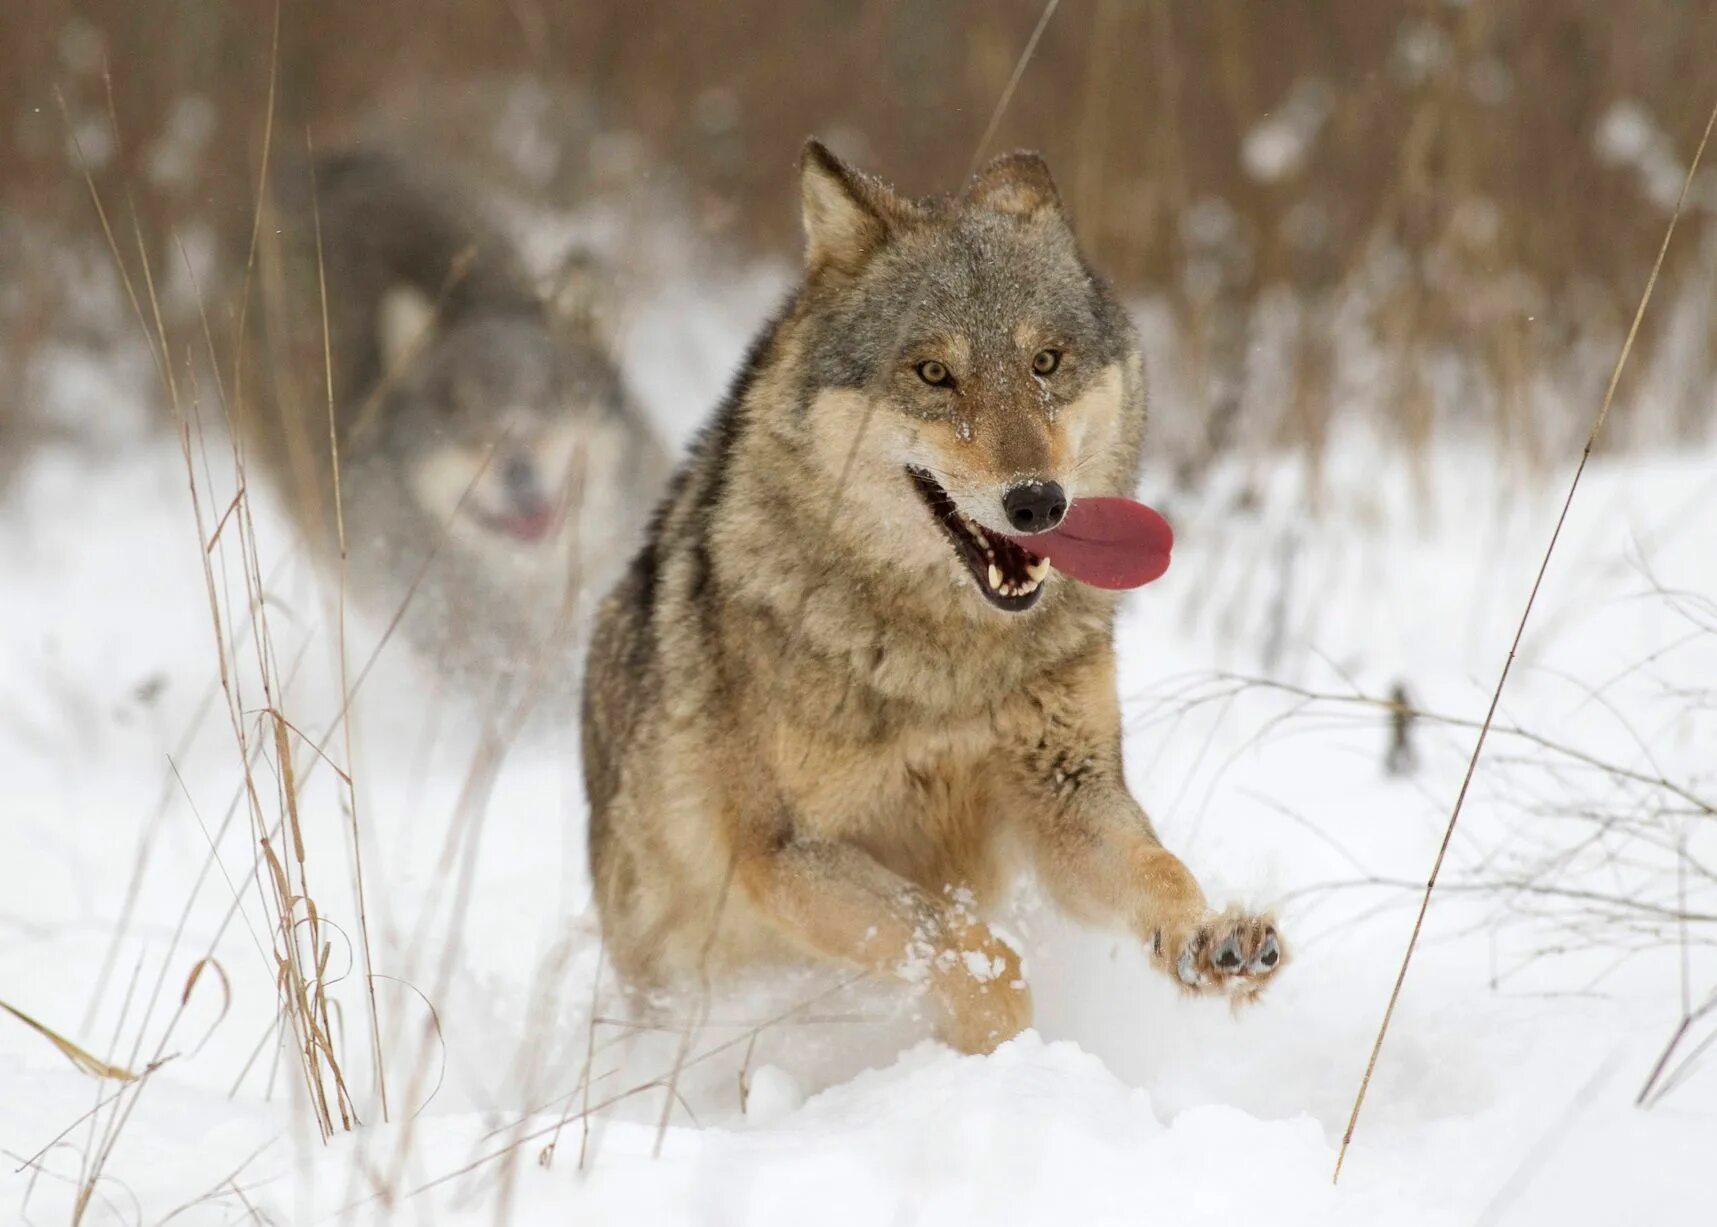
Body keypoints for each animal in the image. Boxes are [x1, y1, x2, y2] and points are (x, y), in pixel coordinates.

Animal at [583, 139, 1284, 1050]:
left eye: (1044, 362)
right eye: (933, 374)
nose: (1037, 501)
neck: (947, 664)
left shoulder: (1066, 797)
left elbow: (1156, 867)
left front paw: (1208, 936)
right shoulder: (784, 852)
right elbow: (969, 951)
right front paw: (996, 1046)